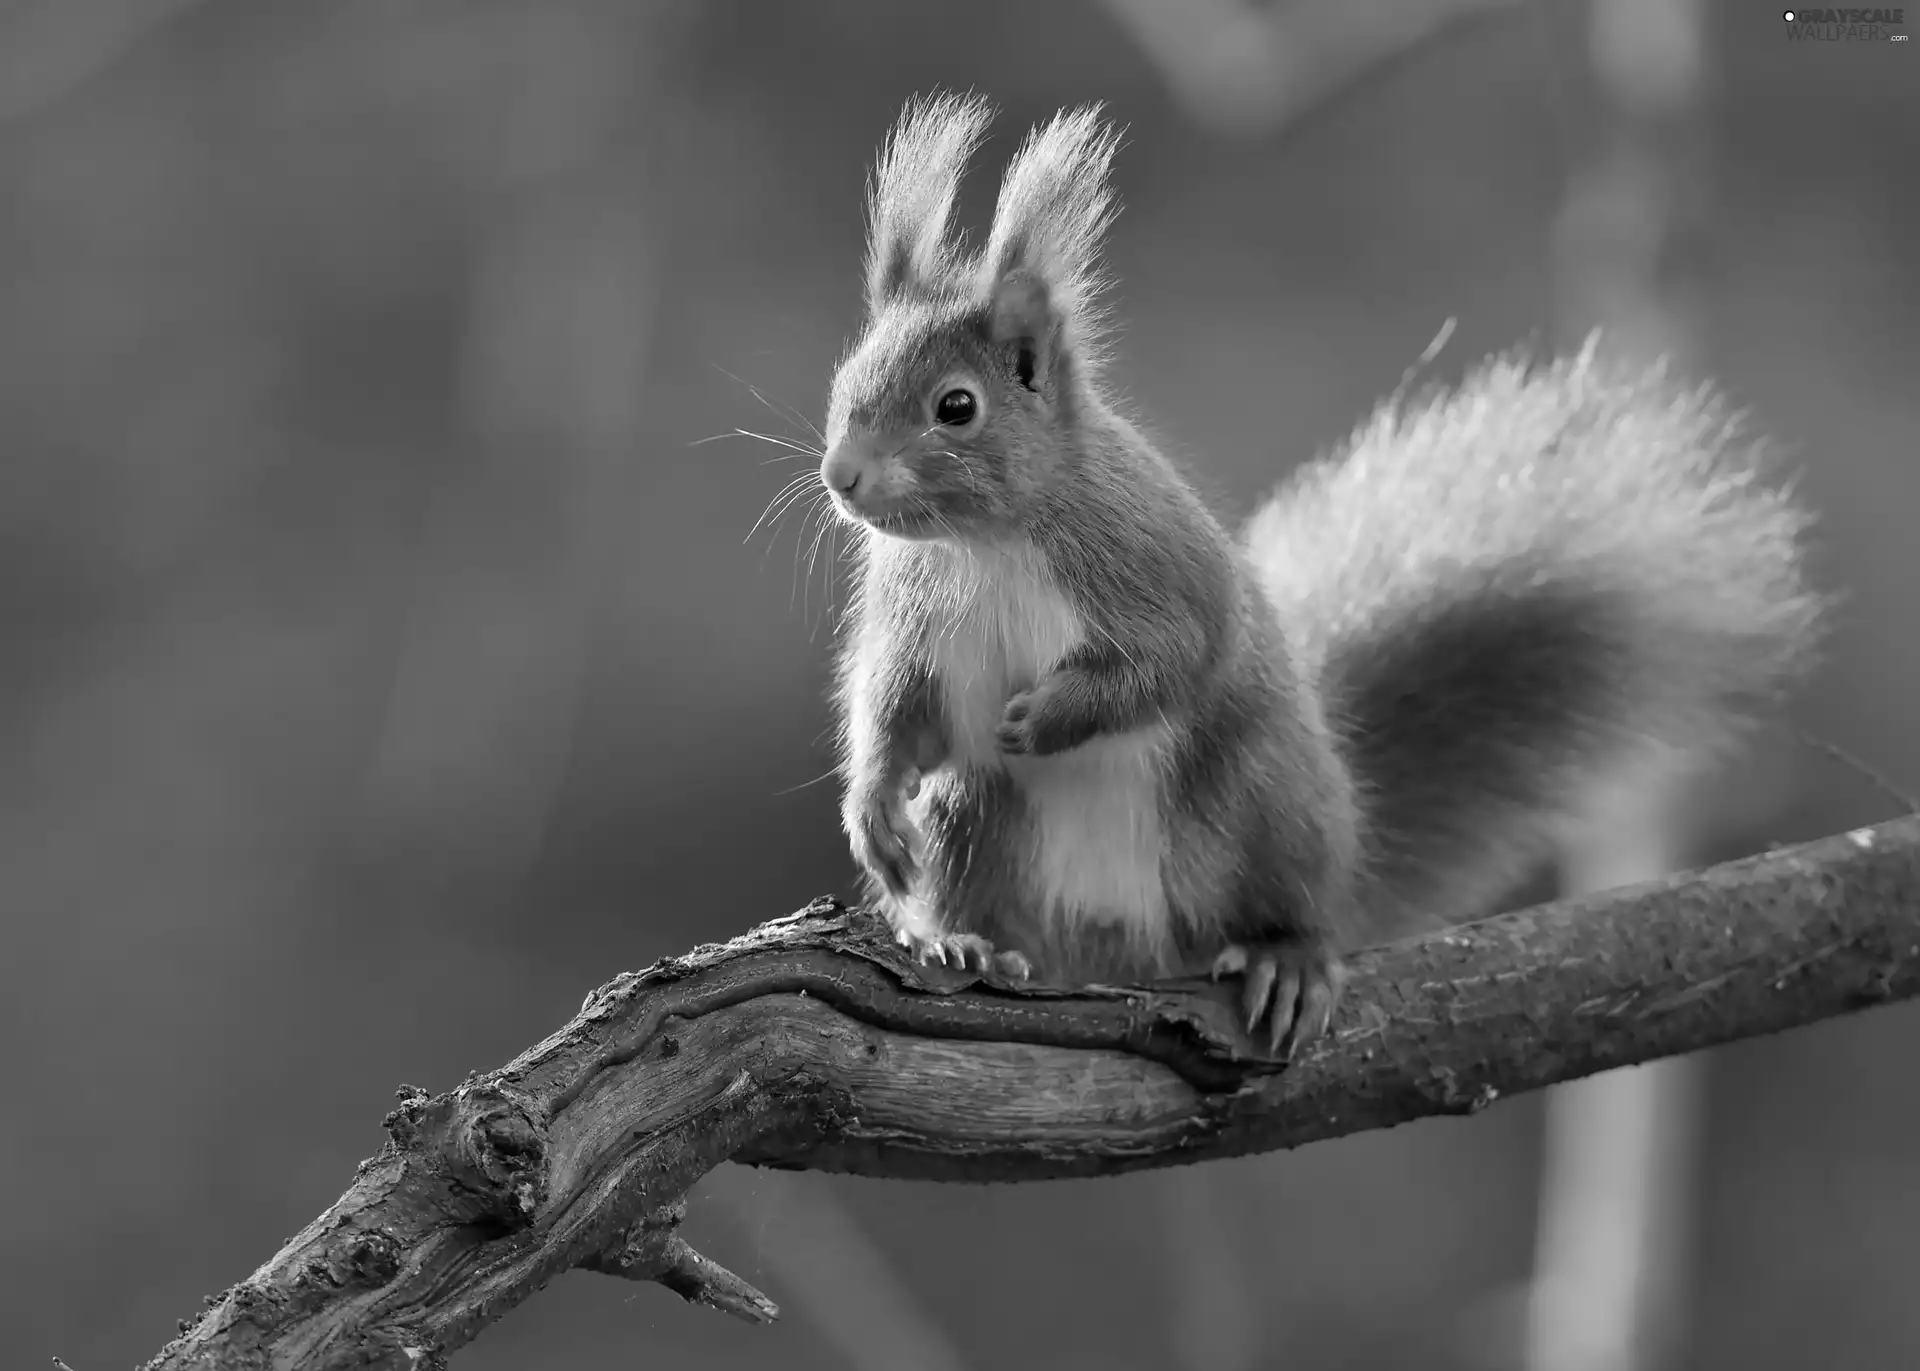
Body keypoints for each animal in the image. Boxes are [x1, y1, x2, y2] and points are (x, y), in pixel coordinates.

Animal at [814, 96, 1827, 1052]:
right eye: (845, 378)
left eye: (957, 407)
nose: (841, 475)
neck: (983, 544)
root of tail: (1125, 946)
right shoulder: (910, 618)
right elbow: (893, 708)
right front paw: (872, 810)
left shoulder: (1155, 566)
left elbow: (1170, 661)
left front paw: (1045, 716)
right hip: (975, 815)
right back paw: (961, 938)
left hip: (1262, 802)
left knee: (1289, 903)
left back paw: (1287, 959)